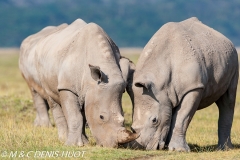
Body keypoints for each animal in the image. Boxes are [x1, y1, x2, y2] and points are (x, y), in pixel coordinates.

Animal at [19, 19, 138, 148]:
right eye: (101, 117)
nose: (114, 146)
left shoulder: (90, 90)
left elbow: (84, 115)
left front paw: (84, 143)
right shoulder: (68, 87)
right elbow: (76, 116)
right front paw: (73, 145)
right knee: (46, 96)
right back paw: (61, 138)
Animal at [129, 17, 238, 151]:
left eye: (155, 120)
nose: (144, 147)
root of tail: (227, 40)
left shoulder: (194, 87)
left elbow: (182, 116)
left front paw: (178, 150)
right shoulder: (166, 93)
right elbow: (172, 115)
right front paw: (169, 147)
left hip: (234, 59)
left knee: (228, 100)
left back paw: (224, 149)